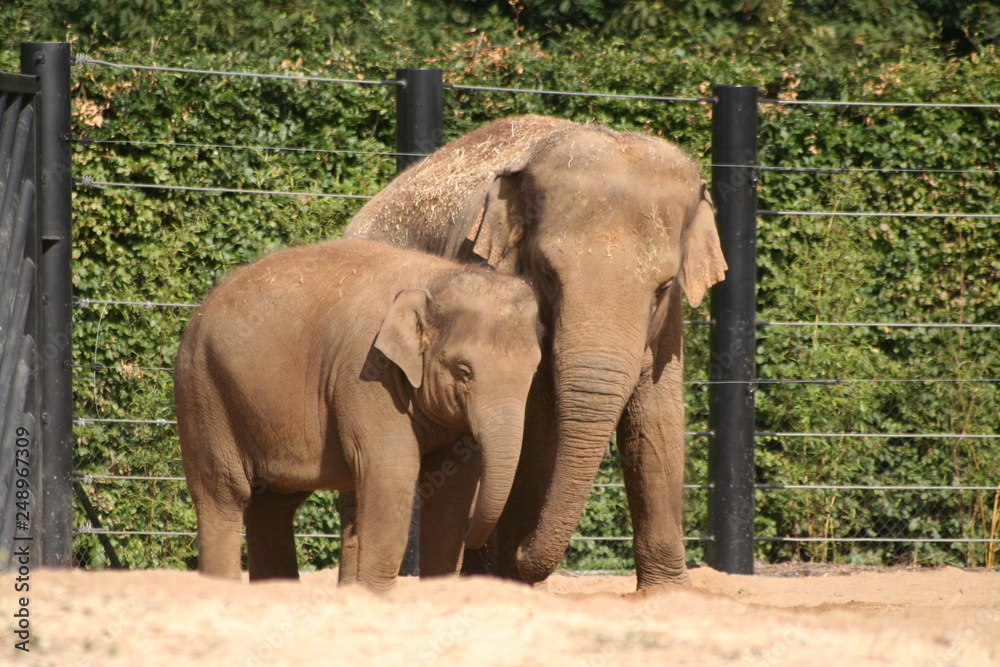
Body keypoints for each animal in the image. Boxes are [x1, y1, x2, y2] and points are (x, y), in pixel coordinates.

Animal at [174, 238, 542, 591]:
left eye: (534, 371)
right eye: (464, 371)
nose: (476, 538)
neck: (433, 280)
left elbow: (453, 487)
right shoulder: (365, 370)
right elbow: (391, 469)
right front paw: (376, 596)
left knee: (273, 506)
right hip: (203, 391)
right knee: (224, 495)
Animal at [343, 114, 727, 589]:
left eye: (664, 287)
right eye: (546, 274)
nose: (521, 550)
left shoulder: (668, 323)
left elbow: (657, 415)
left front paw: (667, 594)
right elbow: (536, 424)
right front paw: (511, 570)